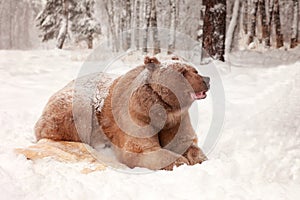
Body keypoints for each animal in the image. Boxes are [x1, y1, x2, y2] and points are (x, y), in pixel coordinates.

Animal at [34, 56, 209, 170]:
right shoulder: (137, 116)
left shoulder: (177, 120)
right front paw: (180, 161)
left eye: (195, 70)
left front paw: (199, 158)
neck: (164, 108)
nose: (206, 79)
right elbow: (142, 149)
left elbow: (184, 141)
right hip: (78, 104)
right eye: (183, 71)